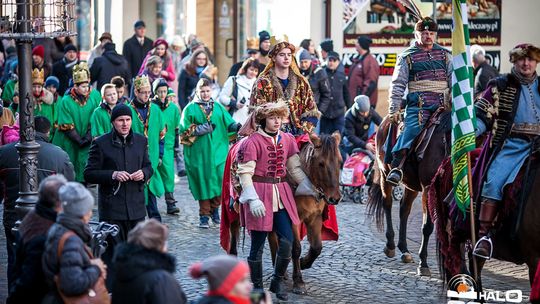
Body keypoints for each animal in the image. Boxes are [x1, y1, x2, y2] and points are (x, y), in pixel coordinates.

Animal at [219, 133, 342, 294]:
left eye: (340, 162)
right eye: (321, 163)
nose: (335, 198)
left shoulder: (315, 217)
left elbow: (316, 247)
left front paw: (303, 263)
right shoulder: (292, 218)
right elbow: (296, 248)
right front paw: (298, 281)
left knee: (273, 239)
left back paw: (280, 273)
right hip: (235, 211)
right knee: (234, 234)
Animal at [368, 110, 452, 276]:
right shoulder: (428, 189)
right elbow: (427, 226)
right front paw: (423, 263)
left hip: (411, 186)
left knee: (404, 209)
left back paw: (405, 250)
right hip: (385, 174)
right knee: (387, 204)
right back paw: (391, 245)